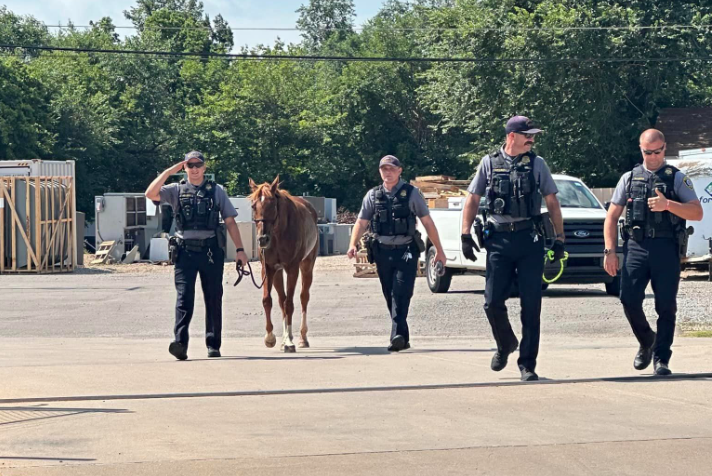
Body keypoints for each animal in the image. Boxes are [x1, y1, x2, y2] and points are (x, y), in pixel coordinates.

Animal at [249, 177, 318, 352]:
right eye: (253, 206)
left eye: (272, 205)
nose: (262, 239)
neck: (278, 233)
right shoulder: (268, 268)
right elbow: (268, 300)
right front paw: (270, 338)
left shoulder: (292, 268)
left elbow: (290, 304)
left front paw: (289, 342)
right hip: (278, 272)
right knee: (281, 299)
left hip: (307, 266)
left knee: (303, 297)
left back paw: (301, 338)